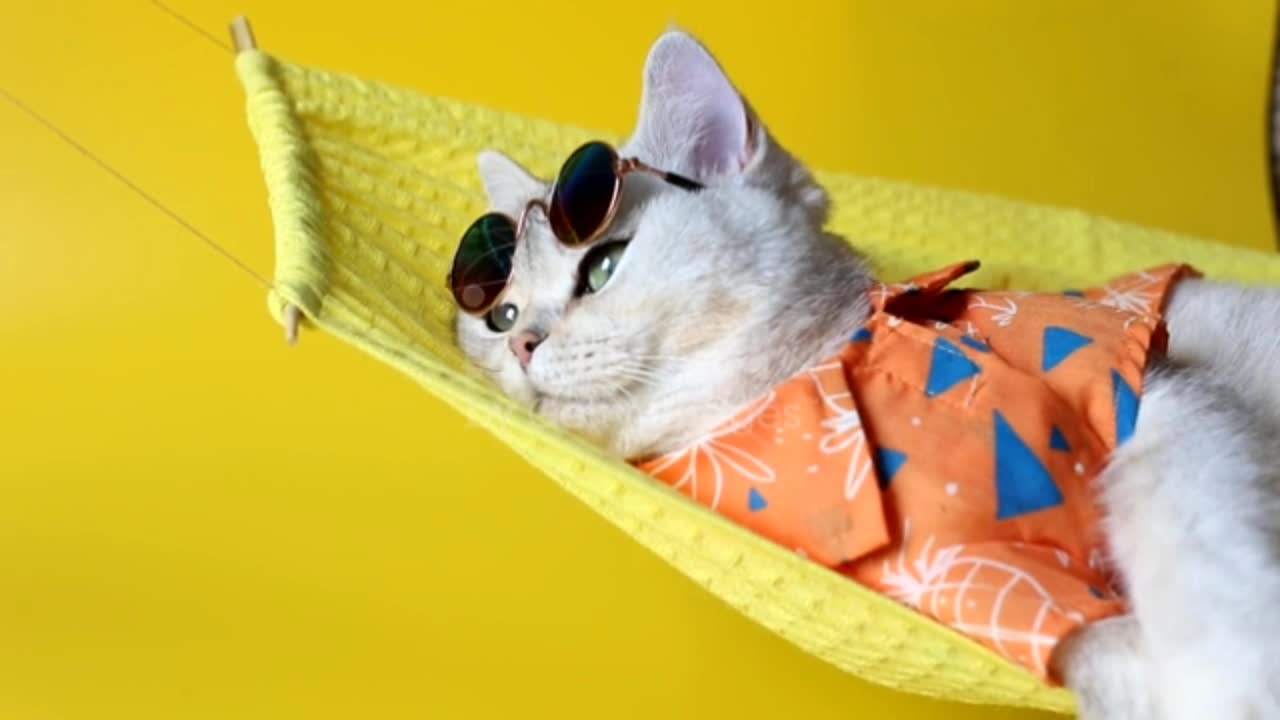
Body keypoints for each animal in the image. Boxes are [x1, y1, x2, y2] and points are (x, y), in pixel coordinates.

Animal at [458, 29, 1280, 717]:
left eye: (601, 265)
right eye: (500, 315)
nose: (524, 342)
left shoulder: (1161, 399)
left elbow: (1196, 548)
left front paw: (1229, 680)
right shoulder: (987, 589)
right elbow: (1105, 656)